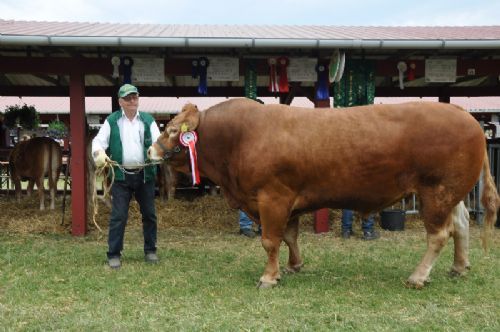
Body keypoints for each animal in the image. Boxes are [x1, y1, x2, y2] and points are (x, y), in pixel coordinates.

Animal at [148, 98, 500, 288]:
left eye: (171, 130)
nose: (150, 151)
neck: (238, 136)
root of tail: (467, 117)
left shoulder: (272, 197)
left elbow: (270, 240)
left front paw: (269, 277)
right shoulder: (286, 199)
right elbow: (290, 236)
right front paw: (293, 266)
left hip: (436, 192)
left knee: (439, 234)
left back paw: (418, 276)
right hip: (450, 193)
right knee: (462, 225)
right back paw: (459, 267)